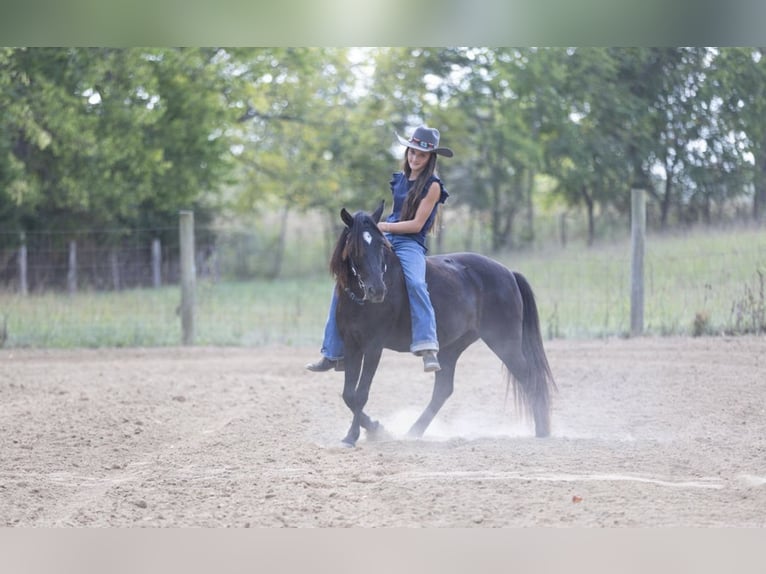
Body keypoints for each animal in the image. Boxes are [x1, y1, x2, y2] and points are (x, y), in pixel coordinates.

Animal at [330, 201, 556, 447]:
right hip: (452, 347)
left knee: (531, 377)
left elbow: (361, 394)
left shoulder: (373, 347)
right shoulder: (352, 345)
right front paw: (370, 430)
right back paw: (413, 431)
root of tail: (509, 274)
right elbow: (348, 394)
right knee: (443, 389)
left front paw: (360, 434)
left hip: (505, 343)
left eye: (381, 244)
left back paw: (542, 431)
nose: (377, 290)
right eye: (355, 248)